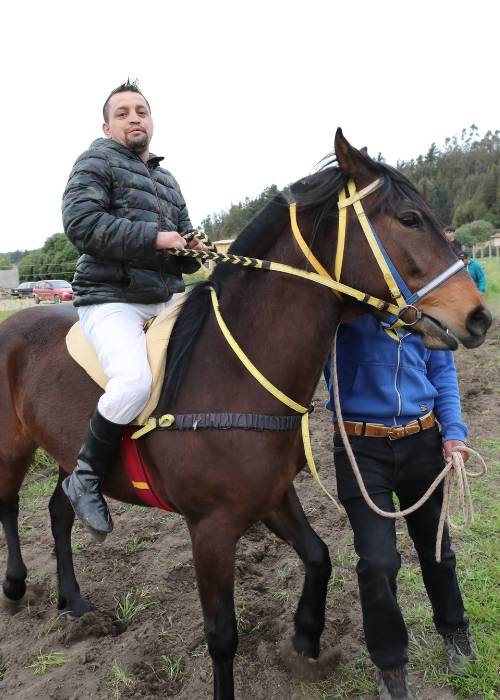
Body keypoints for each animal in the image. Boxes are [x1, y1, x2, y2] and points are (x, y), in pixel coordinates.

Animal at [0, 130, 491, 700]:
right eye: (410, 218)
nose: (479, 317)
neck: (232, 374)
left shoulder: (272, 495)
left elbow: (319, 556)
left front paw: (305, 641)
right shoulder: (210, 529)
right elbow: (222, 635)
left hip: (63, 454)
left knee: (60, 510)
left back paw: (74, 601)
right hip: (13, 446)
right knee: (10, 506)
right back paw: (15, 585)